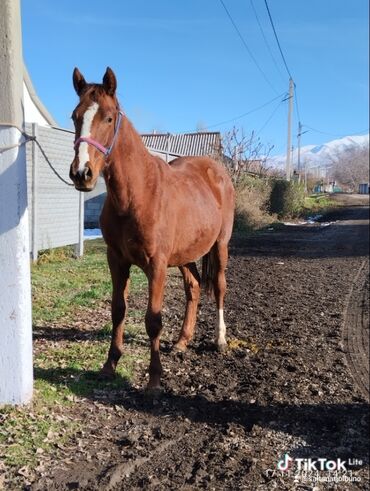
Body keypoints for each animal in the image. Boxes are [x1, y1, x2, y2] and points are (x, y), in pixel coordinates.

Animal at [69, 68, 234, 392]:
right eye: (75, 116)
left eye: (109, 118)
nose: (82, 173)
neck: (137, 193)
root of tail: (218, 171)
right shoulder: (116, 261)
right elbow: (118, 310)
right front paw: (109, 365)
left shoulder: (156, 265)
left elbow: (153, 320)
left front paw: (155, 380)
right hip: (185, 255)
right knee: (194, 287)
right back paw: (182, 342)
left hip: (220, 245)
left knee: (219, 287)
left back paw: (220, 340)